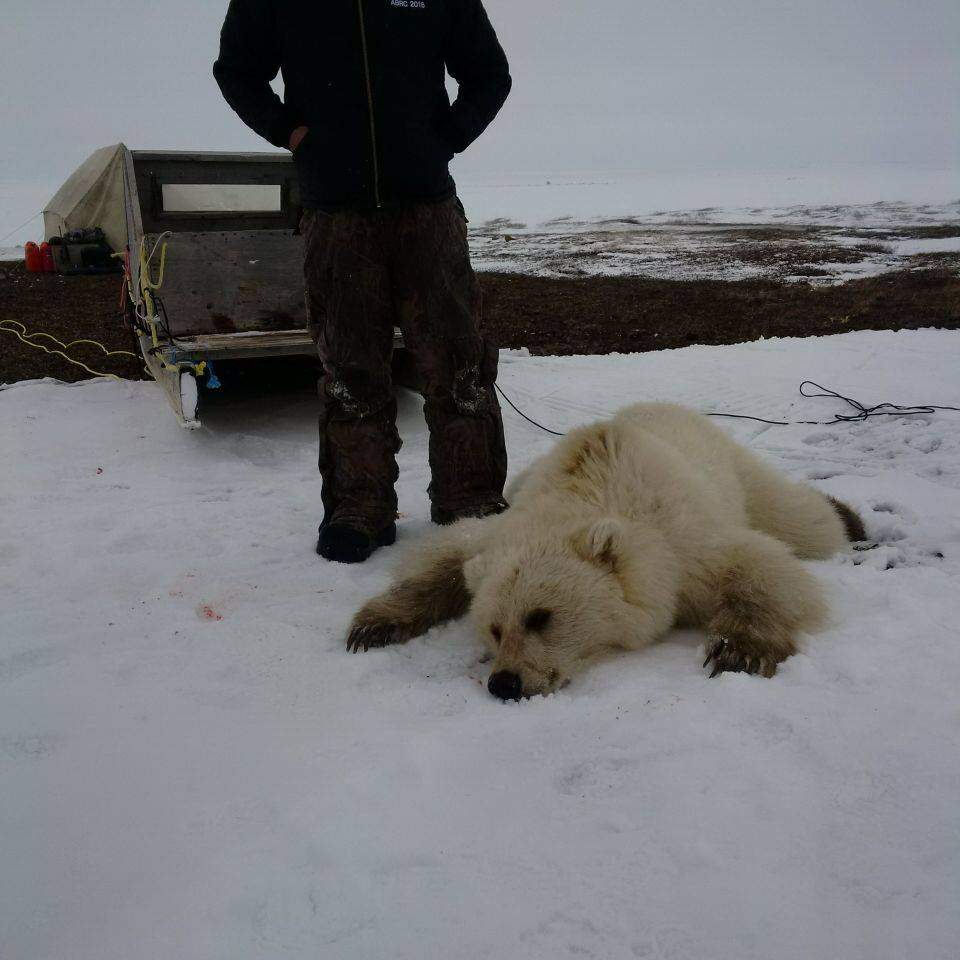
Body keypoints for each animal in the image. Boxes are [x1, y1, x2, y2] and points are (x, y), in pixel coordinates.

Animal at [345, 402, 866, 699]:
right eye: (493, 628)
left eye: (540, 616)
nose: (504, 683)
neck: (591, 487)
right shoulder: (505, 526)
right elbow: (451, 551)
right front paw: (374, 626)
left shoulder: (683, 543)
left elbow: (757, 565)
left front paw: (739, 651)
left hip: (732, 470)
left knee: (800, 520)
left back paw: (848, 517)